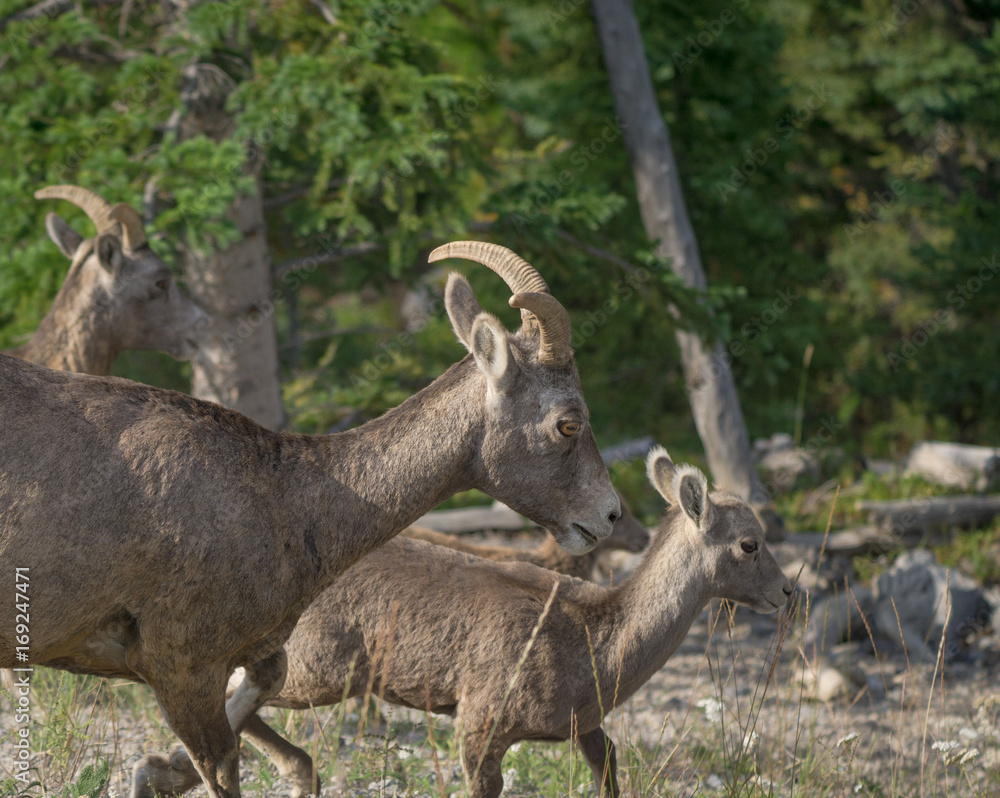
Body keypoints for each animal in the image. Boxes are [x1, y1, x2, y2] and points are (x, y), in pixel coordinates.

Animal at [0, 241, 620, 798]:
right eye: (568, 422)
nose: (608, 514)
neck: (288, 502)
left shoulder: (249, 658)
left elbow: (261, 693)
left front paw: (158, 773)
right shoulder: (180, 665)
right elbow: (222, 768)